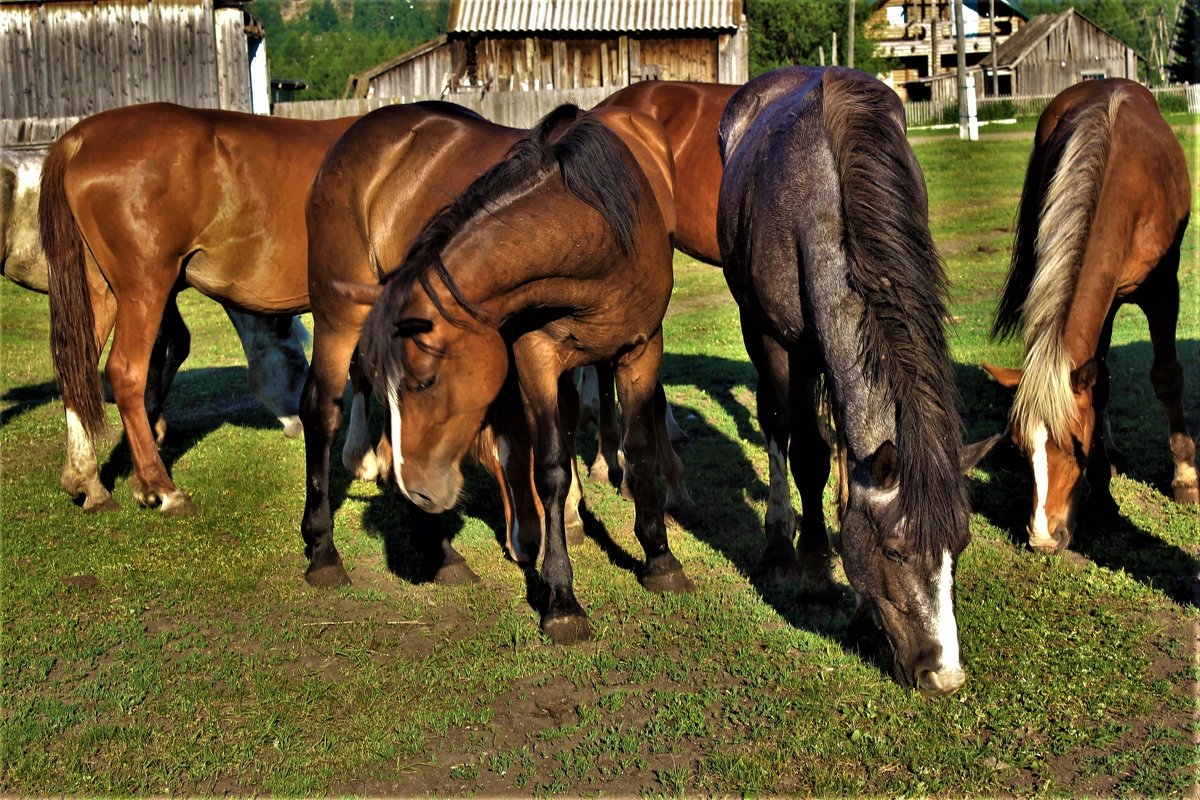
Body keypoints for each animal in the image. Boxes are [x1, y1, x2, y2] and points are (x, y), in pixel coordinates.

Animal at [39, 103, 357, 513]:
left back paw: (87, 478)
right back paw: (160, 486)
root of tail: (81, 137)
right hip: (145, 288)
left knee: (75, 369)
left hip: (100, 290)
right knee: (124, 372)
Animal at [304, 106, 691, 642]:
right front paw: (561, 597)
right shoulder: (535, 355)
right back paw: (323, 551)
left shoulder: (641, 349)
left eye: (425, 382)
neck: (600, 238)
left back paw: (443, 555)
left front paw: (659, 558)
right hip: (337, 318)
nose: (419, 490)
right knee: (321, 412)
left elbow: (639, 452)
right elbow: (551, 468)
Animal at [715, 68, 979, 695]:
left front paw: (860, 607)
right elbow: (807, 453)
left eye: (959, 547)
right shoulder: (782, 343)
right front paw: (814, 578)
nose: (944, 676)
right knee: (778, 424)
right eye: (895, 550)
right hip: (758, 329)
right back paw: (780, 544)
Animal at [974, 82, 1190, 556]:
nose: (1042, 536)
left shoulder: (1164, 290)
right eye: (1020, 449)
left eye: (1073, 446)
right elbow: (1100, 386)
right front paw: (1104, 492)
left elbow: (1167, 376)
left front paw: (1186, 478)